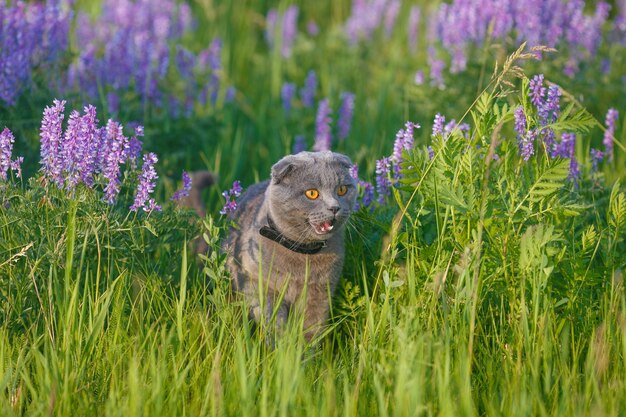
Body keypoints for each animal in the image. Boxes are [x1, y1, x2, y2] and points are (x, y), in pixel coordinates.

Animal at [195, 151, 354, 340]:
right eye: (312, 193)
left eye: (342, 190)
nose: (334, 208)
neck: (302, 253)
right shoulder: (257, 284)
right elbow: (273, 318)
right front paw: (281, 344)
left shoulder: (320, 293)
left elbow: (311, 329)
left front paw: (304, 348)